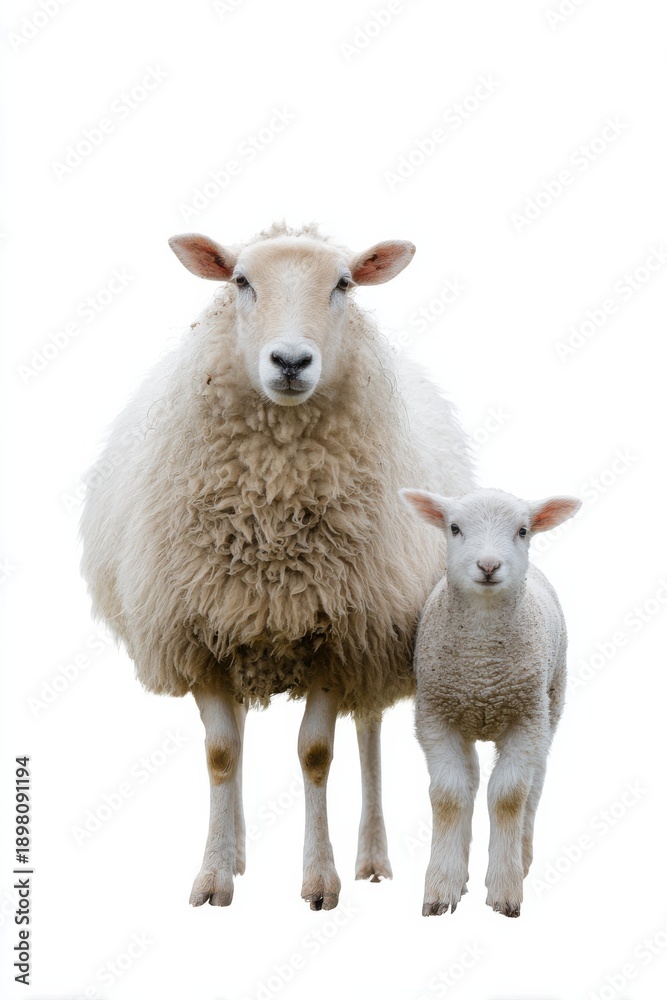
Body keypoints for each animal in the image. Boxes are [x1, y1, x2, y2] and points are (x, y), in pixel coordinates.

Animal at [79, 221, 474, 910]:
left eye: (343, 284)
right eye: (241, 280)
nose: (290, 362)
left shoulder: (339, 636)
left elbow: (316, 753)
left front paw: (320, 880)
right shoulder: (202, 631)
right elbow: (220, 753)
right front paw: (213, 876)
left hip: (380, 635)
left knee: (367, 730)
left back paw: (372, 857)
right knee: (237, 736)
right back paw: (236, 850)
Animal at [400, 487, 581, 917]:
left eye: (522, 530)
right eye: (454, 528)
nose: (488, 565)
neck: (482, 665)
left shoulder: (525, 720)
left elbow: (509, 796)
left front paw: (504, 890)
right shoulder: (435, 717)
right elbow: (449, 795)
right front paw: (442, 888)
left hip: (550, 706)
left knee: (535, 783)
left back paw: (523, 857)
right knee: (471, 778)